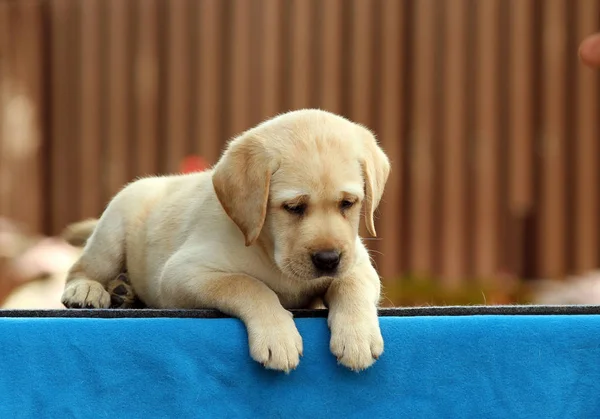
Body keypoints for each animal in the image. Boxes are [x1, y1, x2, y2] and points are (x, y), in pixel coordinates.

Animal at [61, 109, 390, 374]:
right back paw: (88, 290)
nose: (328, 260)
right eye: (294, 207)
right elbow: (247, 284)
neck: (269, 247)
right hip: (113, 229)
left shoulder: (357, 260)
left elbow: (351, 284)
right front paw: (278, 335)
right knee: (80, 268)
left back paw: (123, 290)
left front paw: (357, 336)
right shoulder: (181, 274)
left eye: (348, 203)